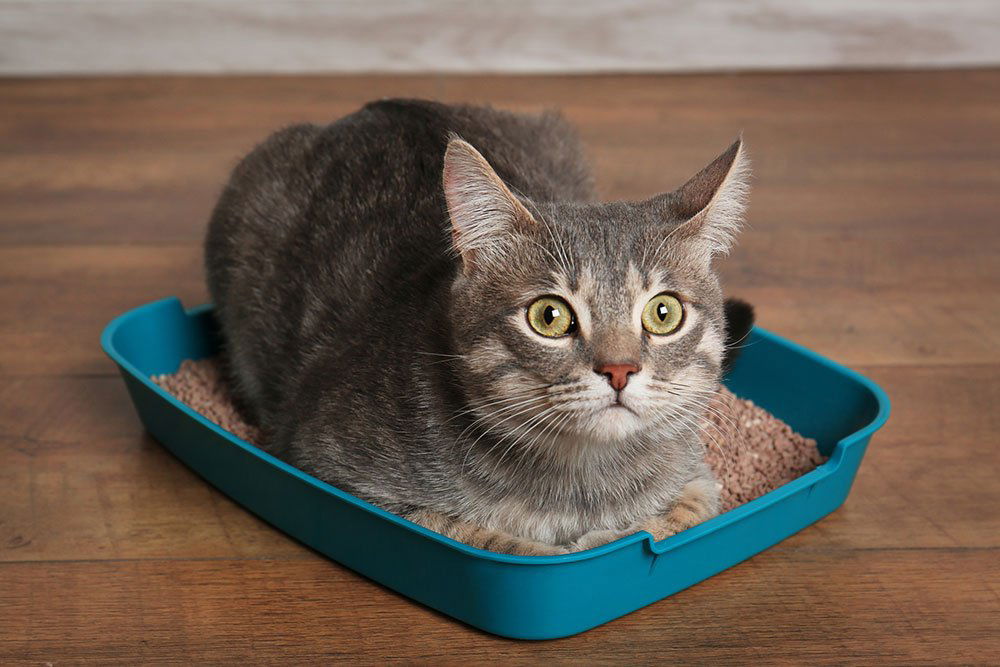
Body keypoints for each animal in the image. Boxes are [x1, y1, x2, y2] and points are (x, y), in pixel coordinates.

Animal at [203, 98, 752, 560]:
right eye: (549, 316)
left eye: (663, 313)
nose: (619, 370)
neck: (582, 480)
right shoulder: (326, 461)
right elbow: (479, 536)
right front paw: (566, 547)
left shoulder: (697, 474)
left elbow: (682, 513)